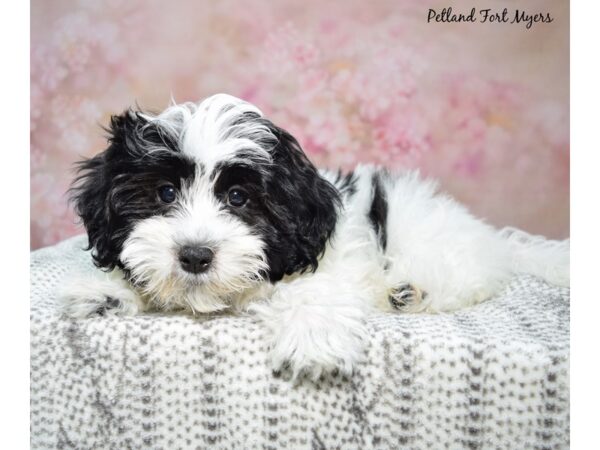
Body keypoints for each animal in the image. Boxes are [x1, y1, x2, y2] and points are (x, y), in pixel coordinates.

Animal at [58, 94, 568, 380]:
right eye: (165, 192)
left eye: (239, 197)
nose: (195, 255)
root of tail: (486, 233)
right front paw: (106, 290)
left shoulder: (329, 260)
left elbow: (314, 289)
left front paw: (312, 339)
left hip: (428, 238)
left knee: (468, 276)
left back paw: (411, 290)